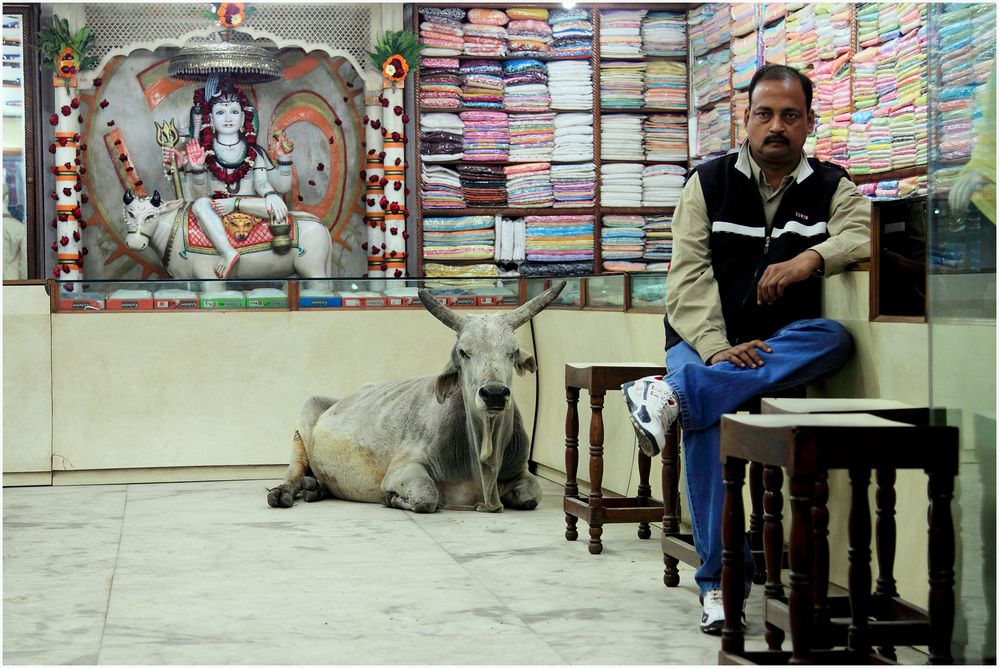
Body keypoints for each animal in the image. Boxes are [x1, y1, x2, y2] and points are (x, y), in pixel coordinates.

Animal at [270, 280, 568, 512]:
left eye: (513, 351)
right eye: (463, 351)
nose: (494, 394)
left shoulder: (521, 471)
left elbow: (532, 494)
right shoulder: (404, 468)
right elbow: (427, 496)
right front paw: (391, 498)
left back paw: (315, 488)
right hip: (305, 416)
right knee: (293, 472)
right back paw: (285, 492)